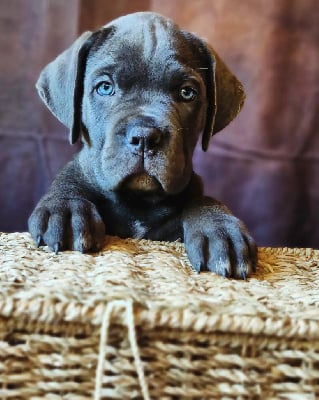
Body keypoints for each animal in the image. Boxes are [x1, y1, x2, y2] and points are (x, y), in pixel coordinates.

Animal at [28, 11, 258, 278]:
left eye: (187, 93)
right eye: (105, 87)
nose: (145, 137)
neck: (139, 201)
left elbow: (202, 199)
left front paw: (220, 228)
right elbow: (70, 182)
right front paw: (65, 209)